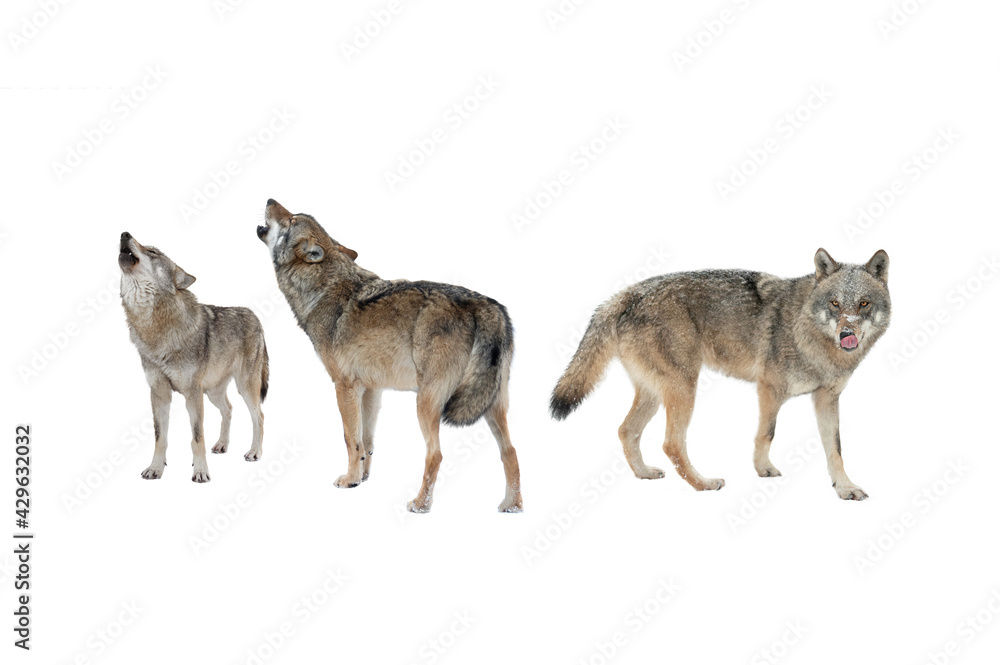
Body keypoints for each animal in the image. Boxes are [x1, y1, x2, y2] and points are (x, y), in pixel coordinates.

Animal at [119, 232, 268, 482]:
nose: (124, 234)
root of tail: (255, 316)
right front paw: (155, 468)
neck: (155, 327)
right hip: (212, 392)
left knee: (259, 416)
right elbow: (160, 437)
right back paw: (222, 445)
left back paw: (255, 452)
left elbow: (197, 438)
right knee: (229, 409)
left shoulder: (192, 393)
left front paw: (200, 471)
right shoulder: (159, 393)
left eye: (153, 252)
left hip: (244, 387)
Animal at [256, 200, 522, 513]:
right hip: (491, 404)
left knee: (436, 454)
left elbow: (350, 439)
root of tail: (489, 306)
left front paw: (349, 481)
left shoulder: (344, 386)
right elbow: (366, 441)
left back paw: (420, 505)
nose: (270, 200)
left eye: (292, 219)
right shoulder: (371, 389)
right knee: (511, 452)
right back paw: (513, 506)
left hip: (426, 403)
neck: (322, 289)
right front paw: (362, 478)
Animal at [550, 249, 890, 500]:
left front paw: (845, 488)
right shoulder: (769, 389)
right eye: (835, 303)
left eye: (863, 303)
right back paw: (703, 484)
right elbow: (767, 434)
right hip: (684, 388)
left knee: (626, 430)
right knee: (671, 444)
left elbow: (835, 449)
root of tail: (626, 294)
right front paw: (763, 470)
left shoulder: (826, 399)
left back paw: (644, 473)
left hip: (655, 394)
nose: (847, 333)